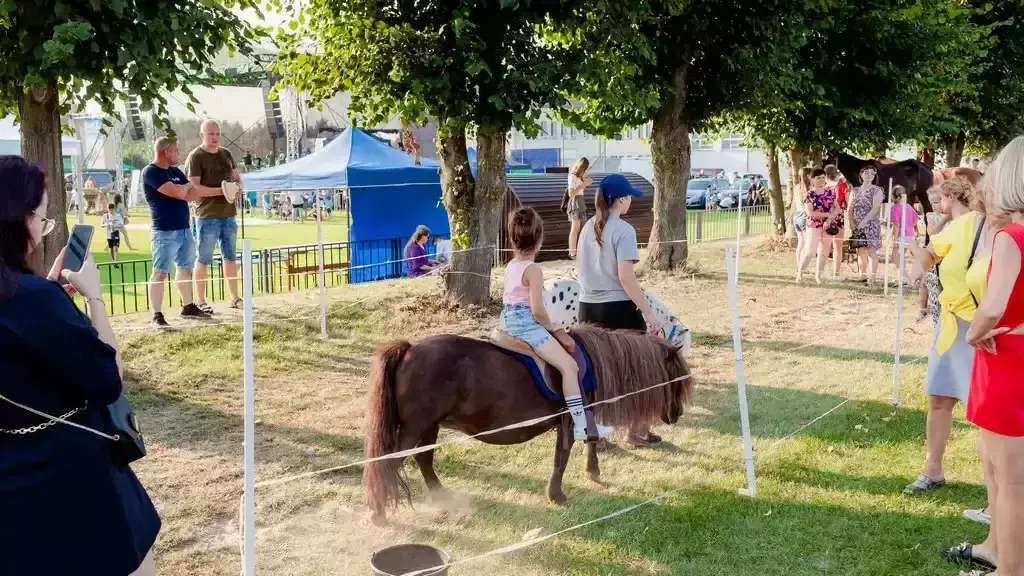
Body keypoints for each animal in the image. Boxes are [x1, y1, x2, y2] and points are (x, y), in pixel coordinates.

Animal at [362, 323, 696, 520]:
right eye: (677, 377)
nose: (676, 414)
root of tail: (409, 350)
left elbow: (589, 443)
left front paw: (593, 472)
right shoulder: (569, 419)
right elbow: (563, 457)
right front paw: (557, 495)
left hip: (429, 426)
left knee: (424, 460)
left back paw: (442, 496)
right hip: (415, 427)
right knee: (388, 463)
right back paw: (378, 512)